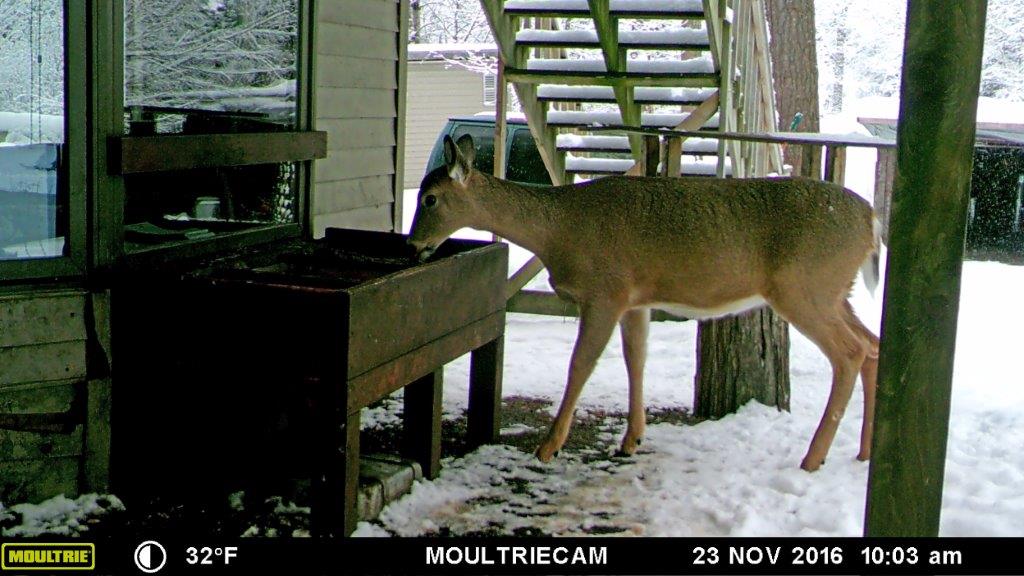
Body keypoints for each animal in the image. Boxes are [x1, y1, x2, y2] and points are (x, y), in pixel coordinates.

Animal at [409, 134, 881, 472]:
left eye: (429, 199)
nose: (414, 245)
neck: (559, 230)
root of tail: (872, 220)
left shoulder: (605, 291)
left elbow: (580, 364)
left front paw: (548, 447)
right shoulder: (635, 299)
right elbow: (636, 358)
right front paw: (632, 440)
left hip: (804, 286)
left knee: (851, 352)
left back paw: (813, 458)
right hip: (835, 291)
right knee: (873, 344)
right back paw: (862, 452)